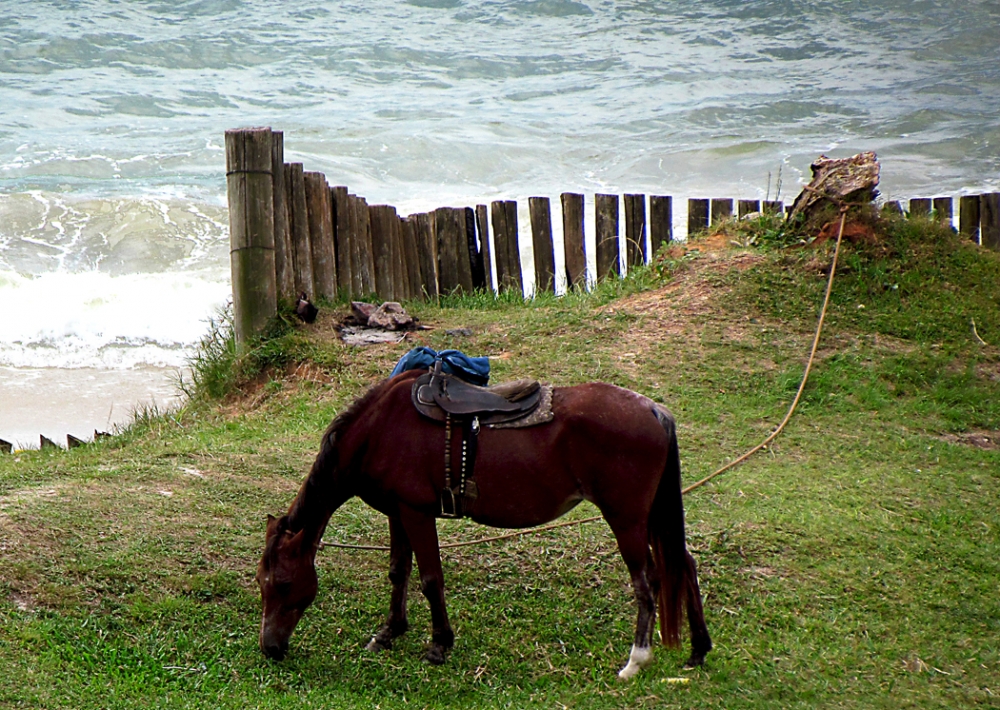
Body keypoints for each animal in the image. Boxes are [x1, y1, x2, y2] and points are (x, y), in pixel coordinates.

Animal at [258, 370, 712, 680]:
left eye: (283, 583)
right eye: (262, 584)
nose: (269, 648)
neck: (378, 430)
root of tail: (653, 409)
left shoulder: (416, 513)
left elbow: (430, 579)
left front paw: (439, 644)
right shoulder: (398, 512)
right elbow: (398, 572)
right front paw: (389, 633)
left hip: (627, 518)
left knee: (647, 581)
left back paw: (636, 660)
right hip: (650, 516)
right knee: (682, 565)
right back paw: (699, 648)